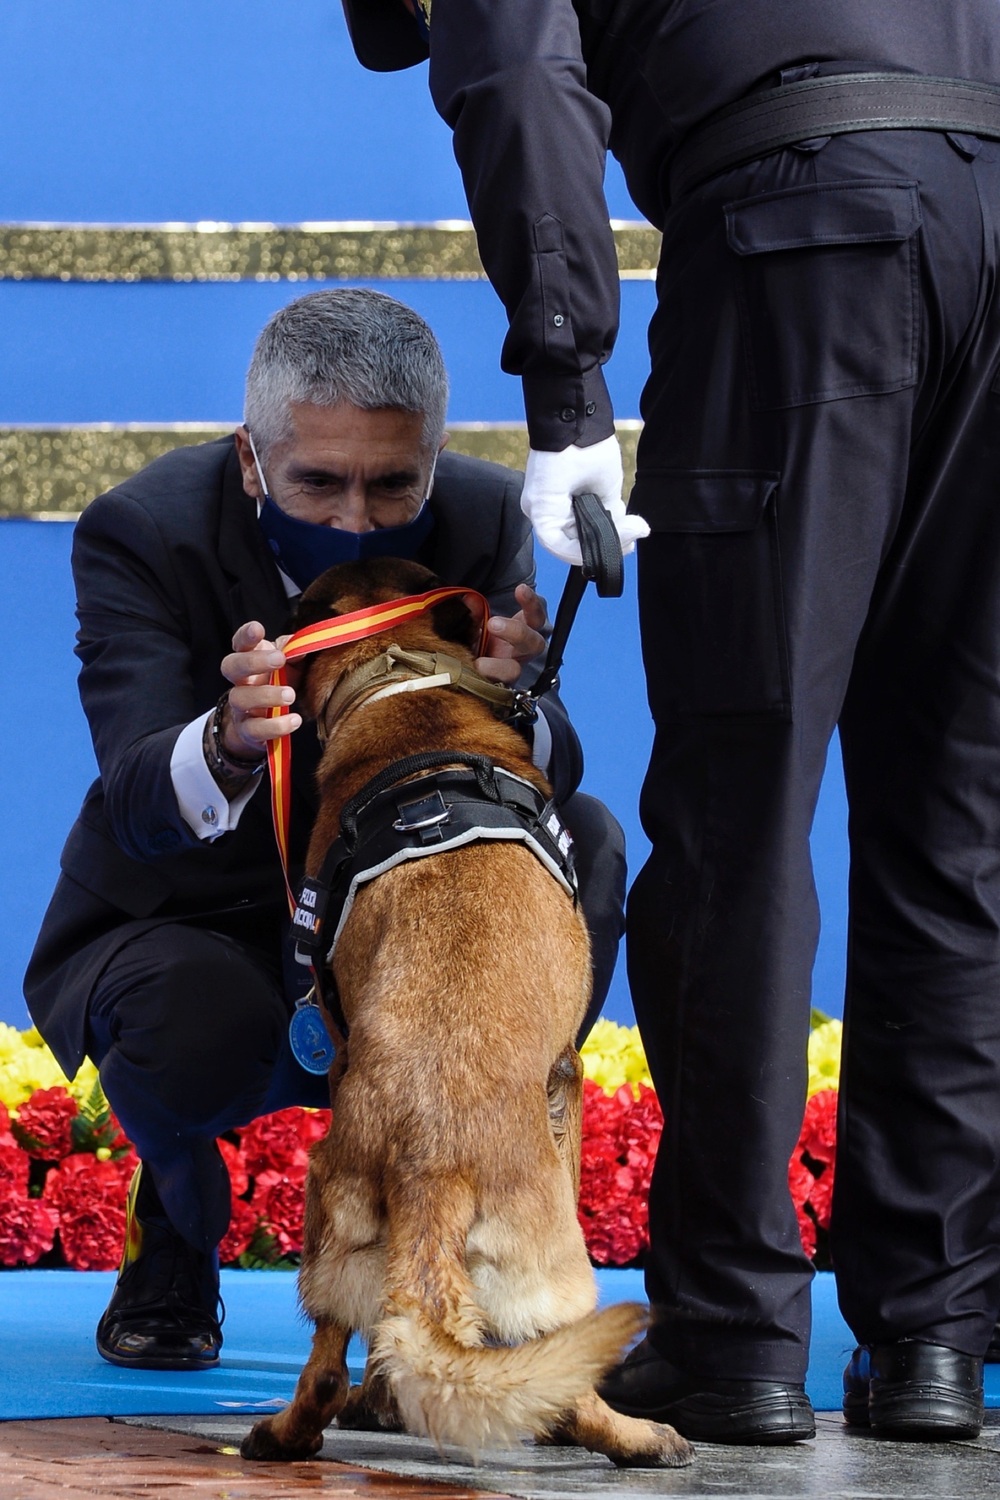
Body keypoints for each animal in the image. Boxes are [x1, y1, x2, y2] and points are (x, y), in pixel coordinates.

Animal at [241, 561, 692, 1464]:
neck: (403, 686)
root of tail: (431, 1166)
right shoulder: (569, 1074)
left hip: (333, 1226)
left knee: (339, 1364)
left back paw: (298, 1430)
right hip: (556, 1268)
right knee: (560, 1372)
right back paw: (624, 1433)